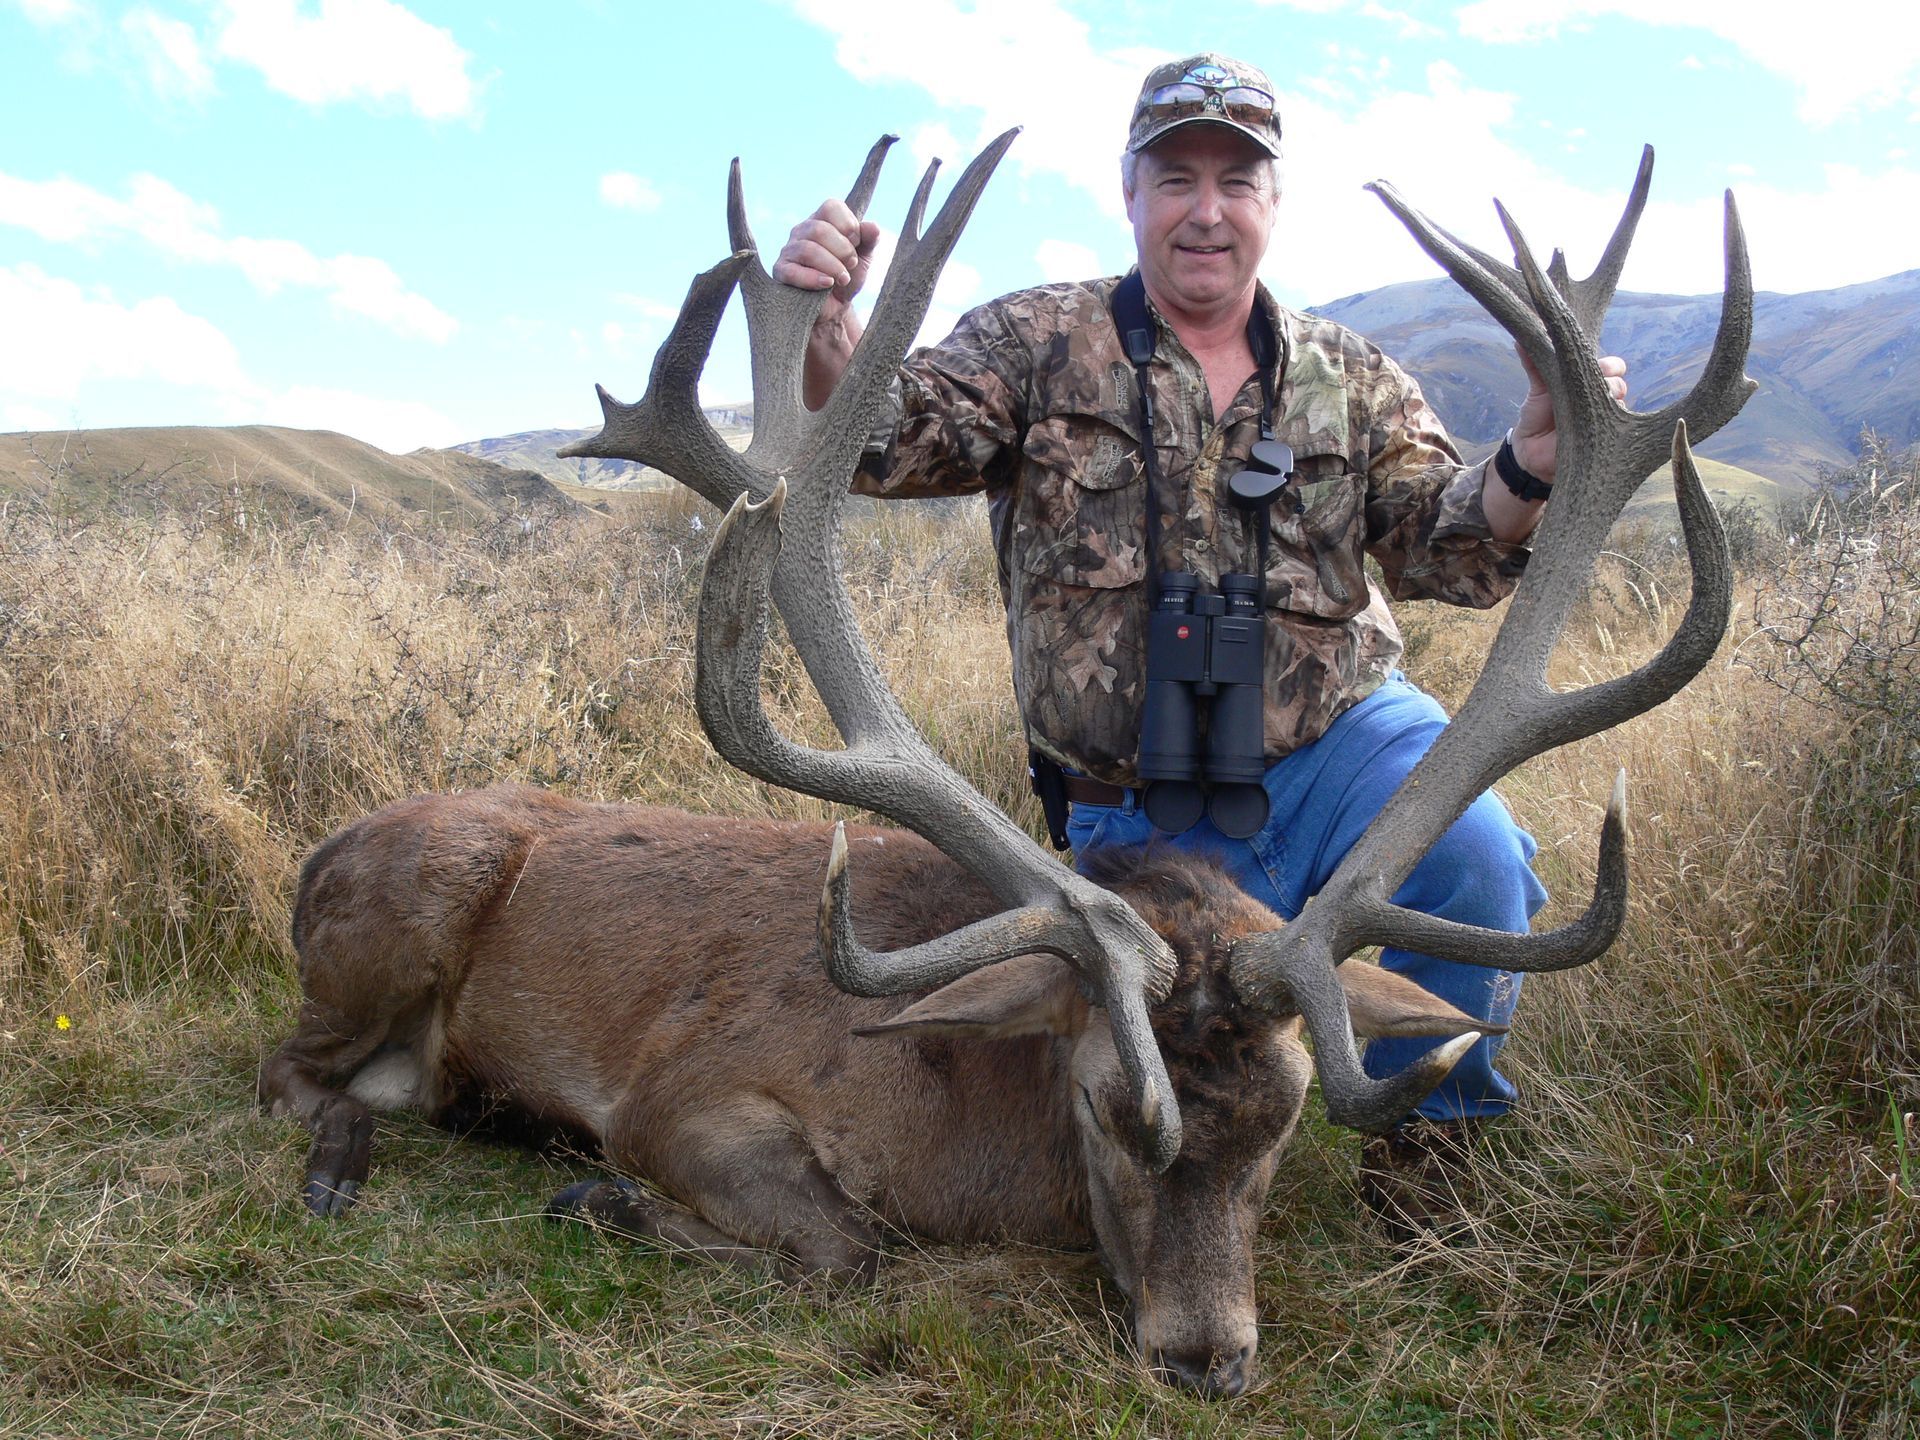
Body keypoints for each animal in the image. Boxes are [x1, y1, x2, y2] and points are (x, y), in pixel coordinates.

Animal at [260, 132, 1754, 1398]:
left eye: (1283, 1128)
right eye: (1103, 1104)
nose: (1206, 1359)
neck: (971, 1136)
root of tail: (319, 855)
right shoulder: (683, 1097)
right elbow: (848, 1248)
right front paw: (599, 1195)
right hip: (398, 913)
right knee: (289, 1072)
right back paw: (354, 1163)